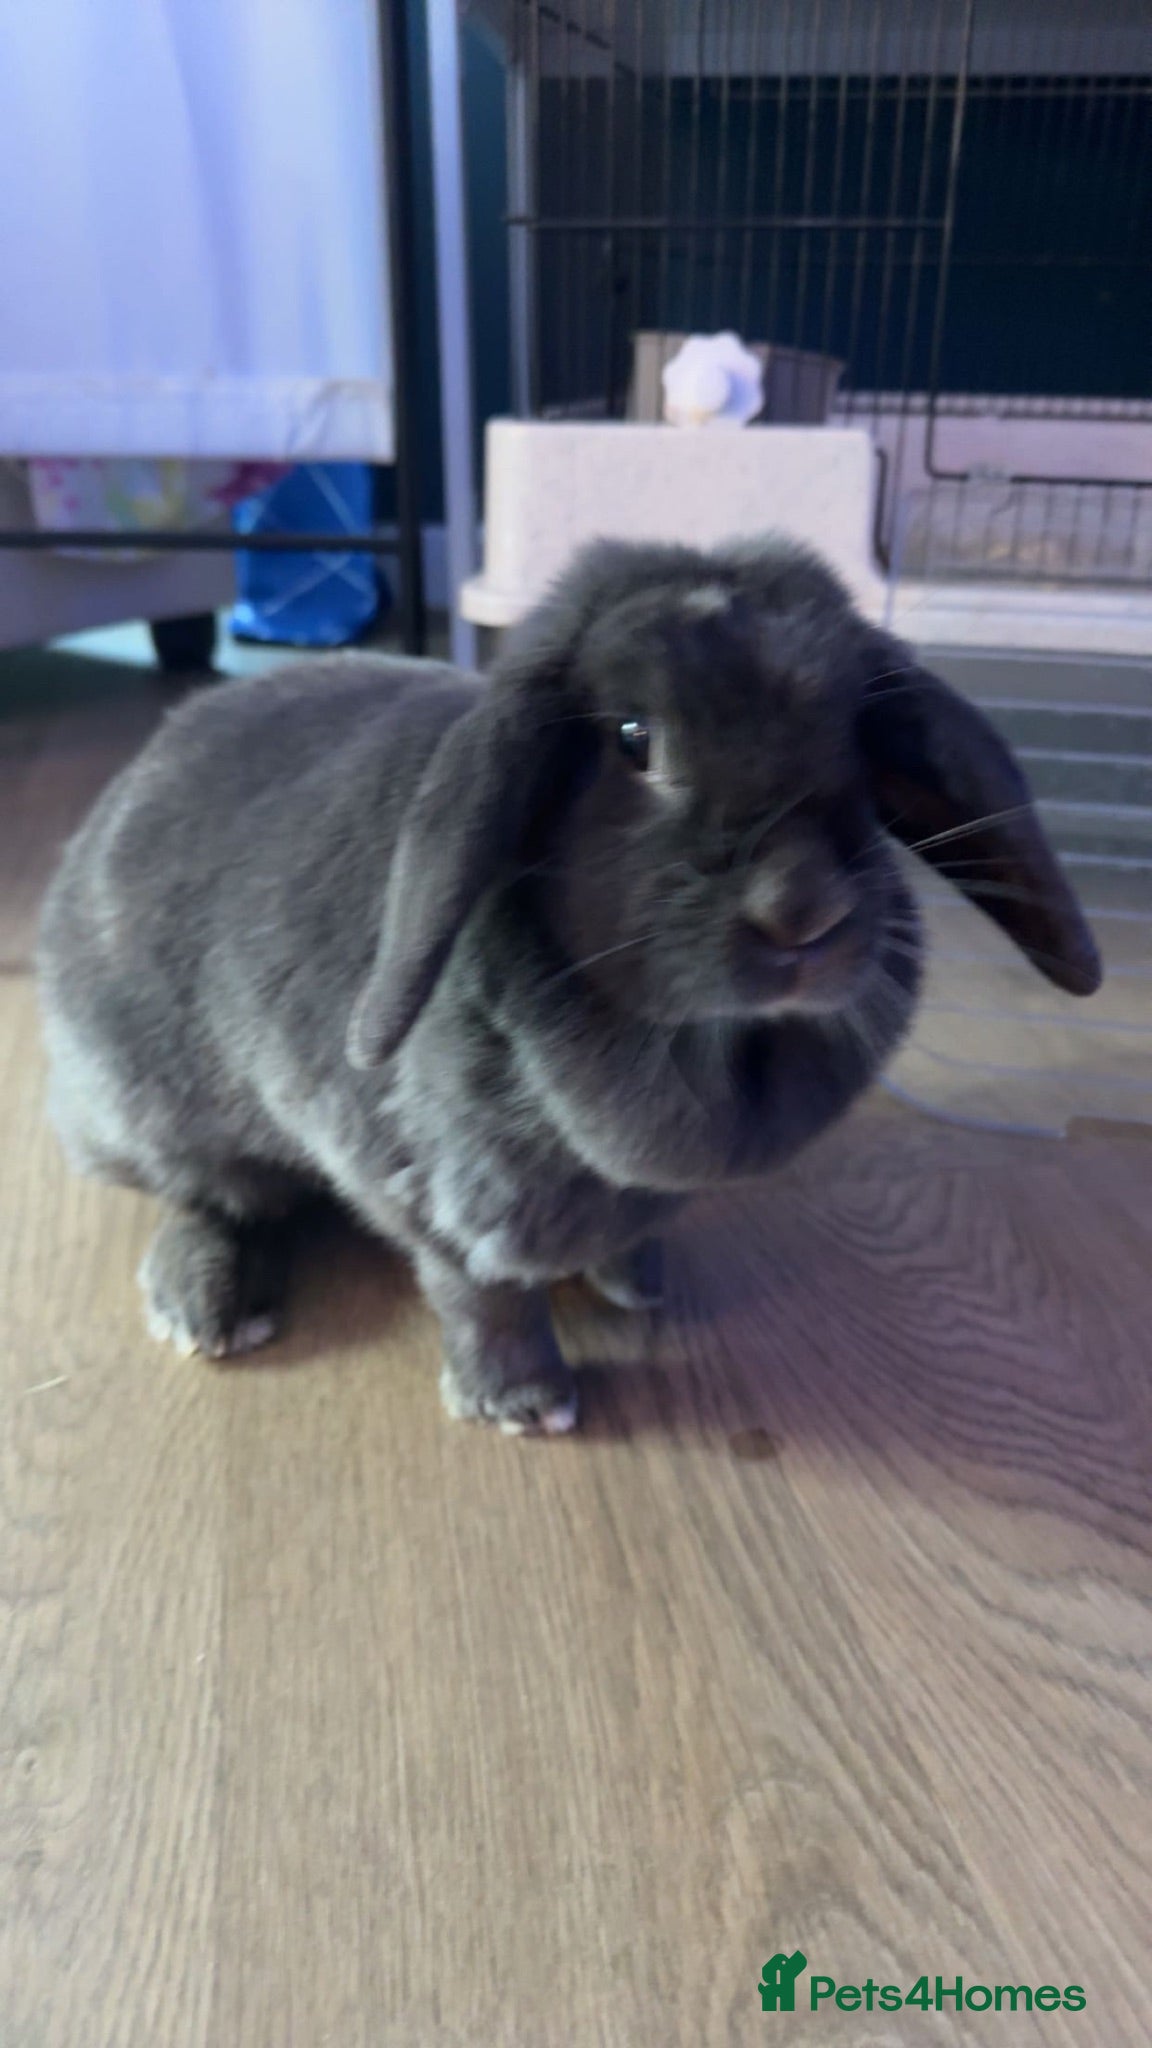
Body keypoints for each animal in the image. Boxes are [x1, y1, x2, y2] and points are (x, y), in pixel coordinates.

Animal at [37, 536, 1101, 1435]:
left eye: (857, 738)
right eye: (633, 738)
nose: (802, 908)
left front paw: (639, 1283)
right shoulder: (441, 1200)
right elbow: (482, 1298)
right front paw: (521, 1404)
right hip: (155, 1113)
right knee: (213, 1198)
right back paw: (206, 1308)